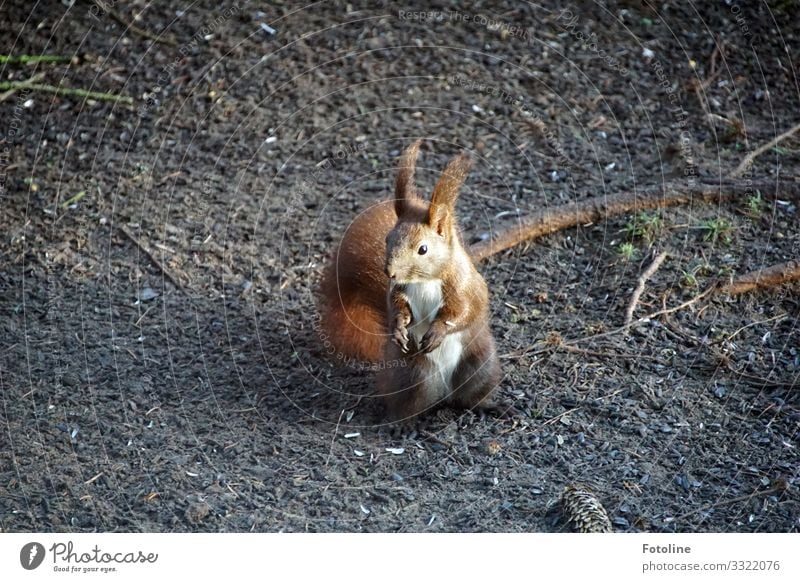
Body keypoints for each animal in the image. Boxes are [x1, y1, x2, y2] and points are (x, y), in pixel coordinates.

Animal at [318, 143, 500, 424]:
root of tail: (444, 394)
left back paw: (485, 406)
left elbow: (463, 311)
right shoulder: (399, 291)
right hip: (411, 375)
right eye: (387, 239)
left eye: (423, 249)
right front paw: (398, 328)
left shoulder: (463, 286)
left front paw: (438, 331)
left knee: (469, 396)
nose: (389, 272)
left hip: (479, 364)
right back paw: (403, 423)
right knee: (409, 403)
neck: (424, 280)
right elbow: (397, 308)